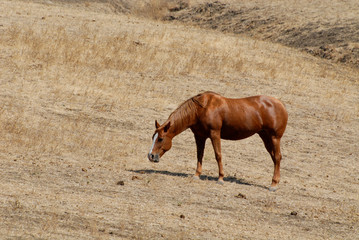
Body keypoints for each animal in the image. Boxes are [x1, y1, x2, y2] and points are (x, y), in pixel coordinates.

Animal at [148, 92, 288, 191]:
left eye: (160, 139)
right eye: (153, 137)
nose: (151, 156)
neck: (201, 108)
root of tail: (281, 105)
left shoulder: (215, 134)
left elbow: (218, 155)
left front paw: (220, 178)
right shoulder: (199, 136)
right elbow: (199, 155)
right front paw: (197, 175)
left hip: (275, 138)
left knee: (277, 157)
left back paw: (273, 185)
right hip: (265, 137)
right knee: (275, 158)